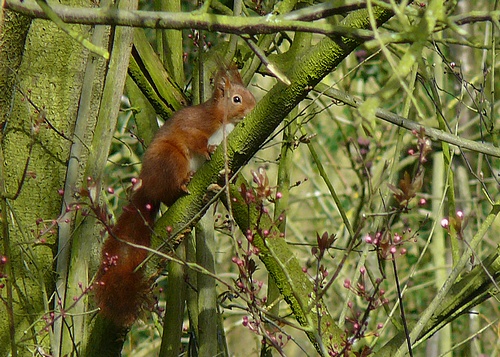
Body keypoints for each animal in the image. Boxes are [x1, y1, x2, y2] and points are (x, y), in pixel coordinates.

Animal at [95, 65, 256, 326]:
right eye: (236, 99)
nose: (253, 109)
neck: (224, 122)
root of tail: (148, 188)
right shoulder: (196, 125)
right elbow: (194, 138)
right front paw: (208, 149)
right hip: (172, 159)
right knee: (172, 184)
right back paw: (184, 183)